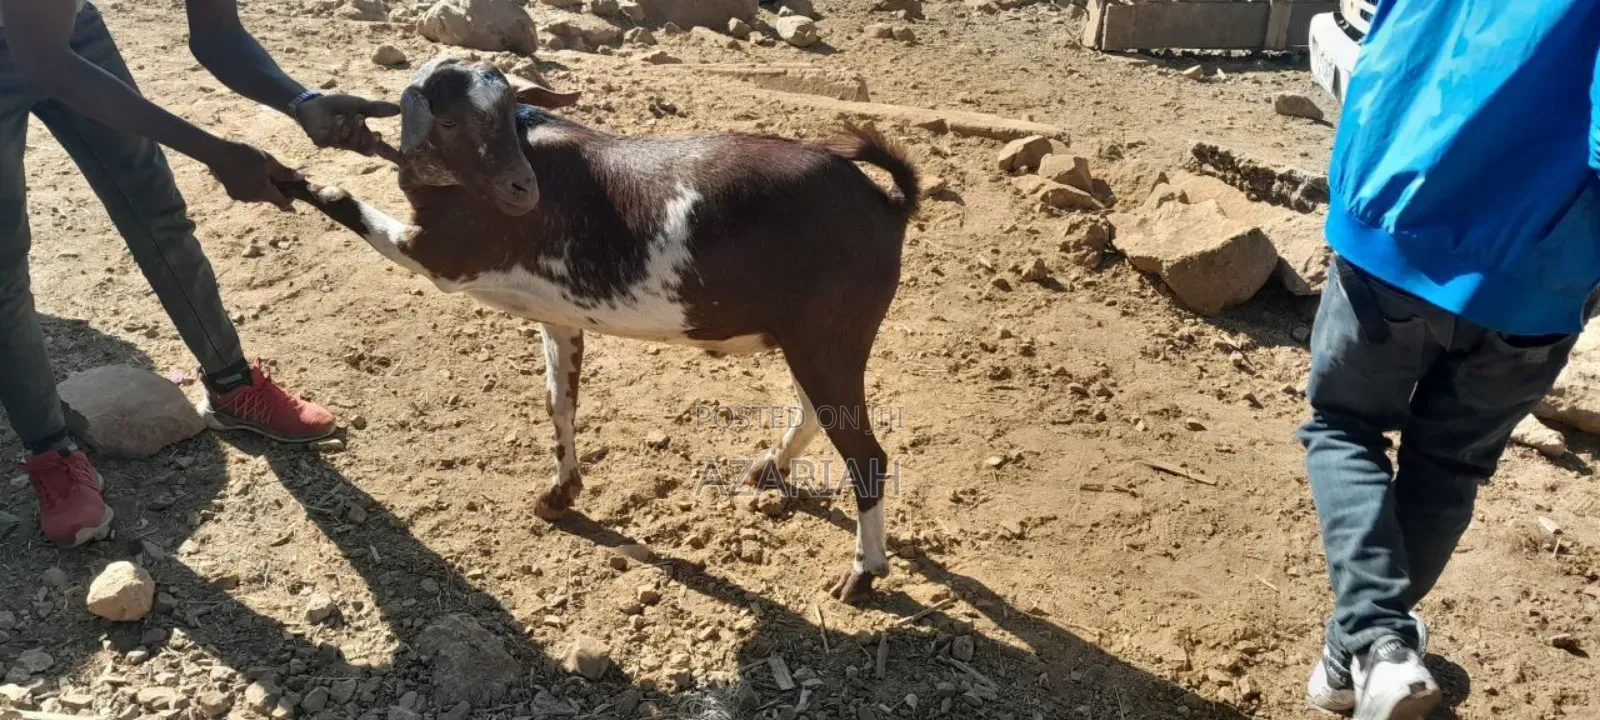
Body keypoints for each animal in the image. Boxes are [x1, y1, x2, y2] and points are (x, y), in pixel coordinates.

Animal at [279, 57, 919, 603]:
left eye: (505, 111)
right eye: (450, 118)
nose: (522, 189)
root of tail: (887, 203)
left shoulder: (439, 256)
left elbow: (341, 196)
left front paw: (290, 179)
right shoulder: (558, 317)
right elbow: (559, 402)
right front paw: (559, 495)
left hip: (828, 337)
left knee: (866, 454)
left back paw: (863, 575)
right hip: (810, 338)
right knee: (816, 410)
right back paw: (770, 468)